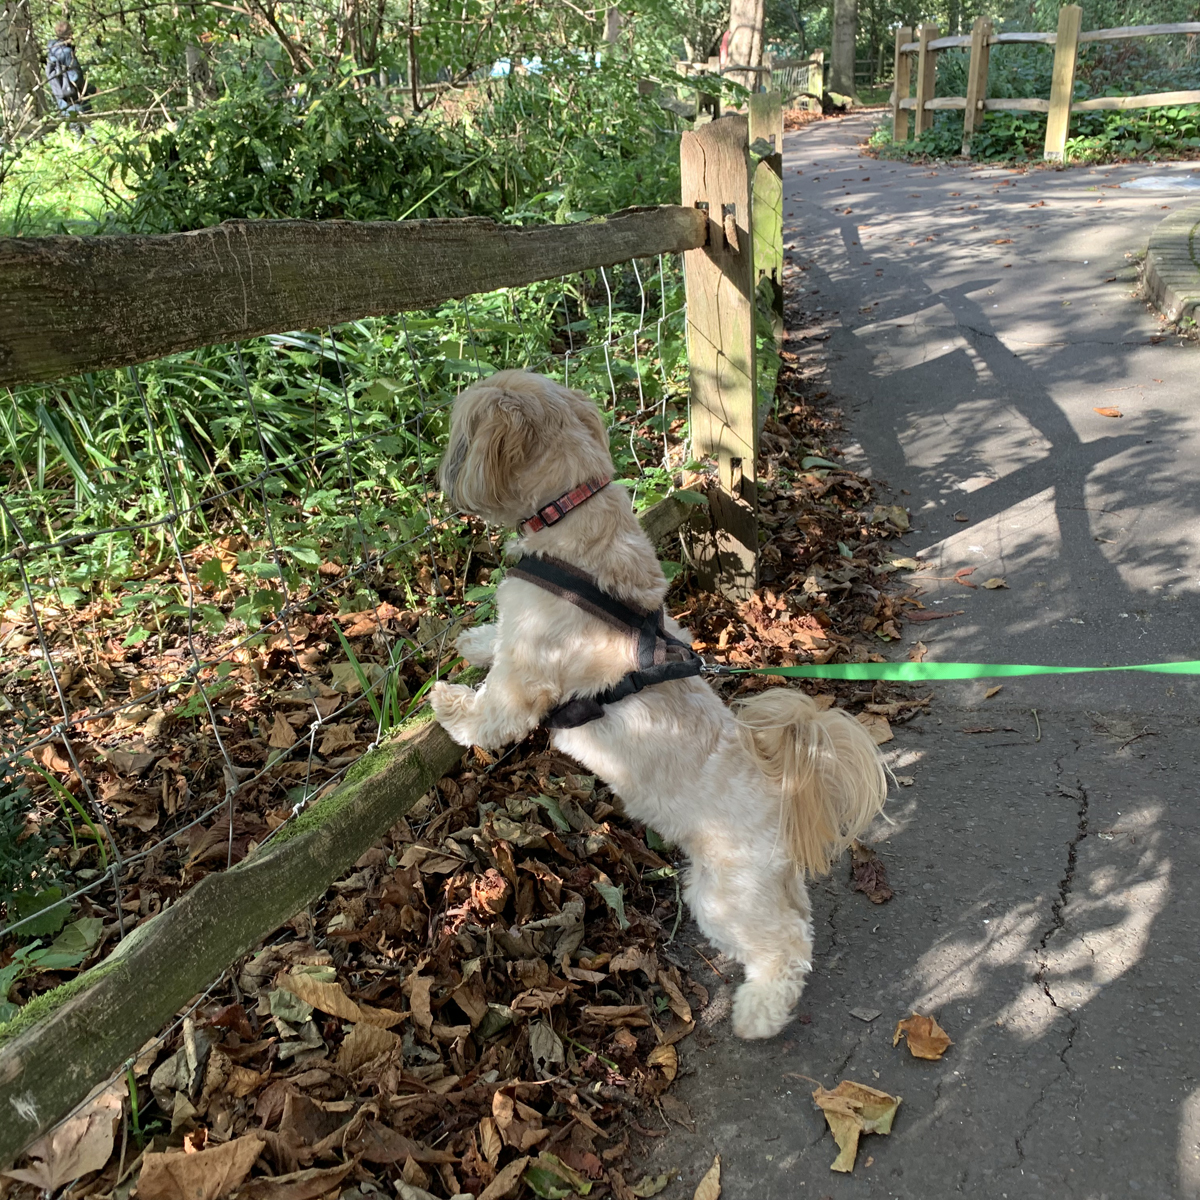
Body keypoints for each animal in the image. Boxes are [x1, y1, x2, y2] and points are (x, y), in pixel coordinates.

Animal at [434, 369, 892, 1036]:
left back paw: (758, 1013)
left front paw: (450, 706)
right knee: (799, 924)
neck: (573, 517)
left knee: (783, 948)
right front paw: (470, 642)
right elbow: (492, 641)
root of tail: (782, 789)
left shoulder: (525, 679)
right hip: (767, 888)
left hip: (725, 895)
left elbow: (493, 712)